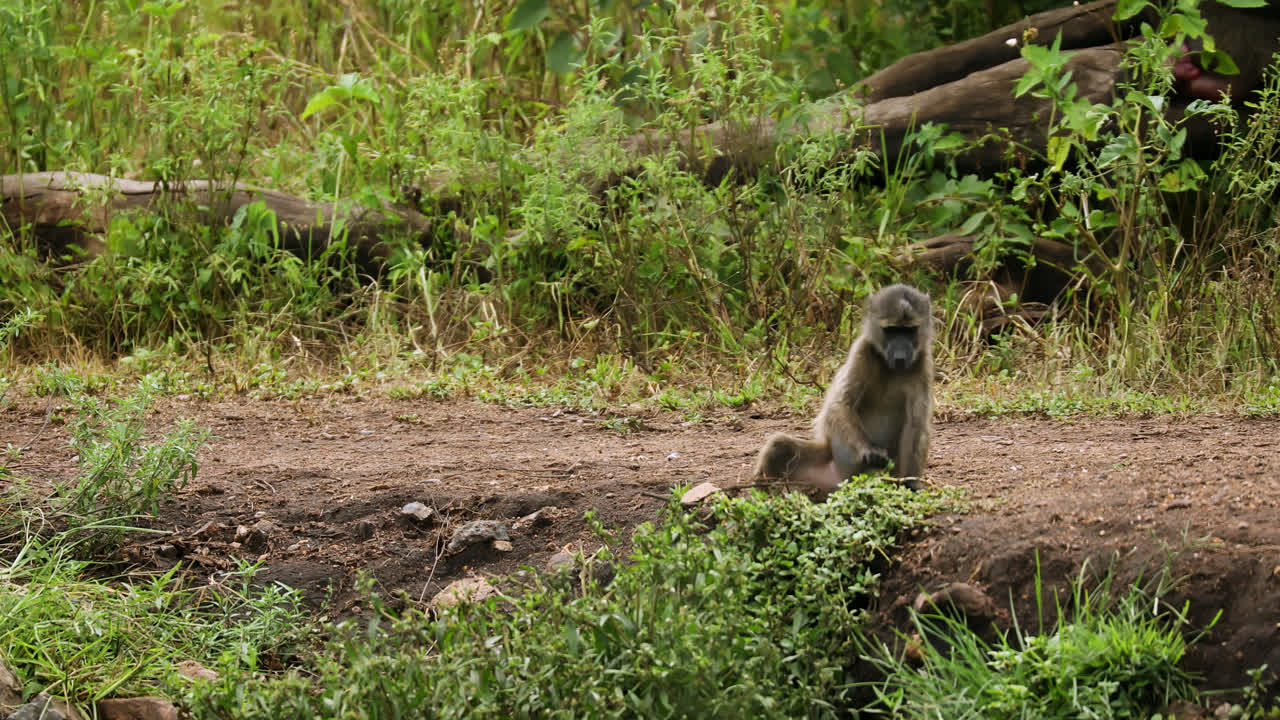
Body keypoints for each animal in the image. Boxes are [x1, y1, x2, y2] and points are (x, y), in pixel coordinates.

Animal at [754, 283, 933, 495]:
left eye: (909, 331)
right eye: (892, 330)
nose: (900, 357)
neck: (889, 368)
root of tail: (840, 483)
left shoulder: (923, 363)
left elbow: (916, 424)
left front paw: (911, 484)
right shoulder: (861, 352)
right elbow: (840, 405)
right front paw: (870, 451)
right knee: (779, 446)